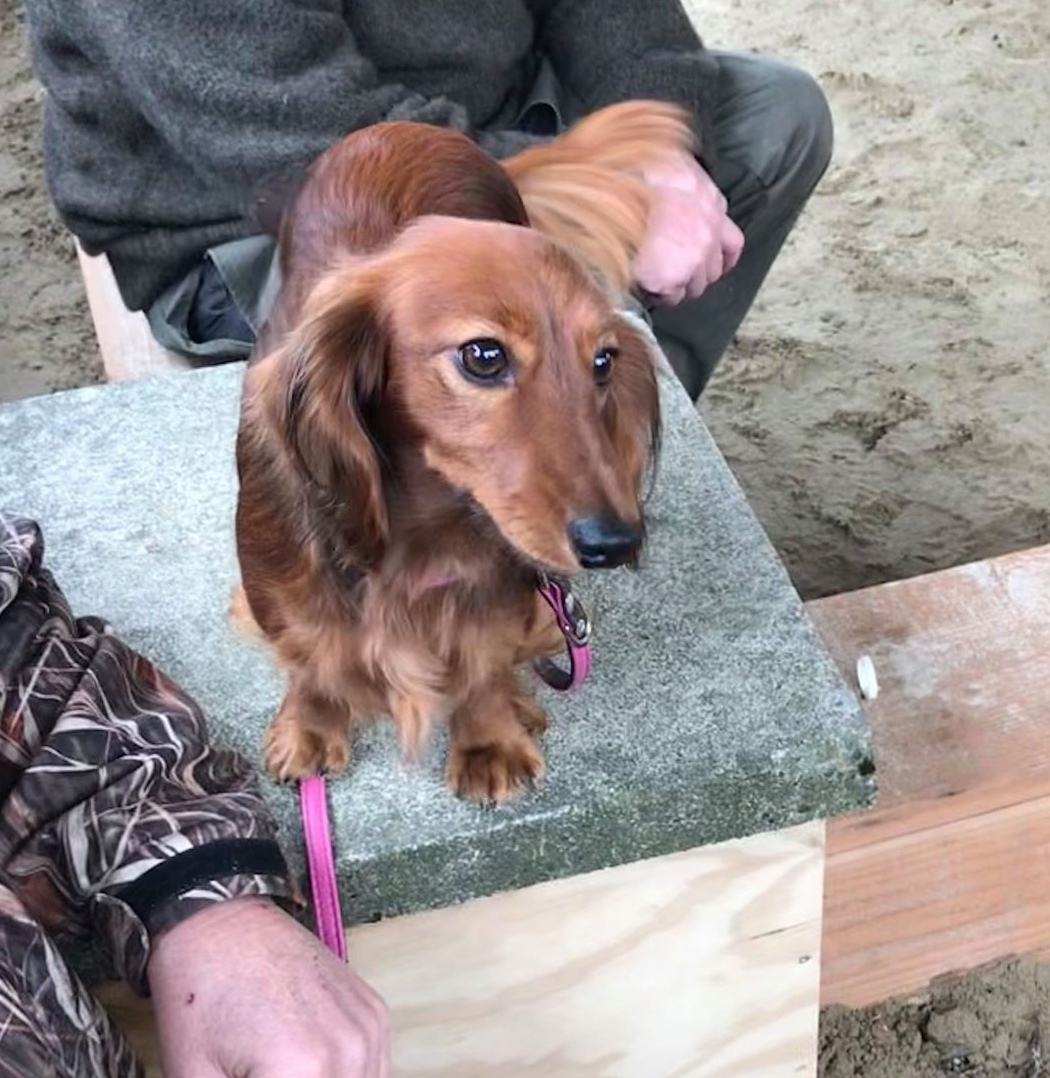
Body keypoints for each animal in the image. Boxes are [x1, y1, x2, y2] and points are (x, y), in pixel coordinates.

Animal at [235, 102, 693, 803]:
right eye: (483, 355)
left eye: (603, 361)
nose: (617, 543)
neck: (426, 540)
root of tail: (418, 127)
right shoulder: (283, 595)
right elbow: (310, 661)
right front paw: (310, 726)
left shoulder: (510, 591)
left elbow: (484, 665)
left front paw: (490, 738)